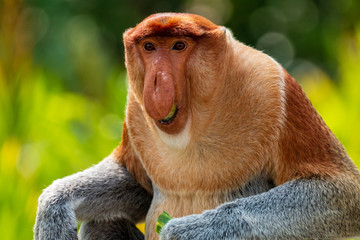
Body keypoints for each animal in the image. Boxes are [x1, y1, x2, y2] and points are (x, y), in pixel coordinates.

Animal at [33, 13, 360, 240]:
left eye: (179, 46)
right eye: (149, 47)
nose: (157, 82)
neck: (194, 123)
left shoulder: (273, 88)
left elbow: (341, 190)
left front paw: (186, 231)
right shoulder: (135, 112)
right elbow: (136, 183)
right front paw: (53, 207)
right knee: (102, 223)